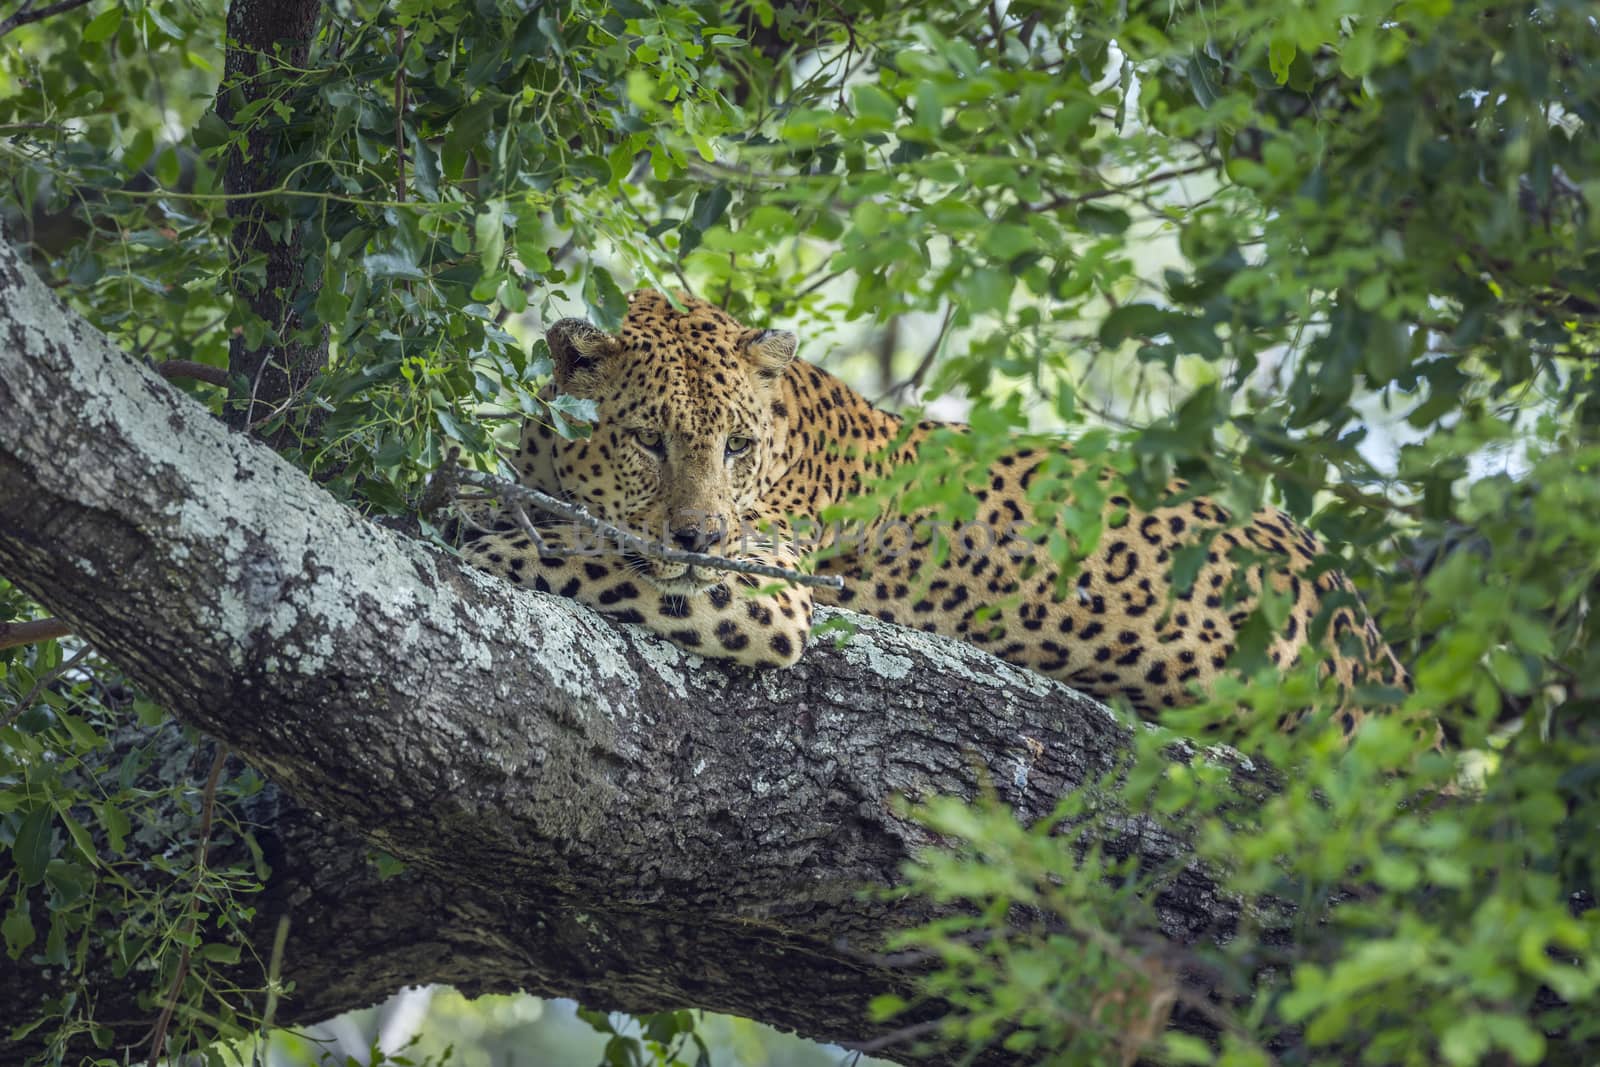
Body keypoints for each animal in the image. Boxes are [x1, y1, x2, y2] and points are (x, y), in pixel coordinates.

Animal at [457, 287, 1408, 739]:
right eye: (650, 440)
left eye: (736, 446)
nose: (702, 537)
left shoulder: (760, 588)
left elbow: (572, 553)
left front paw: (474, 535)